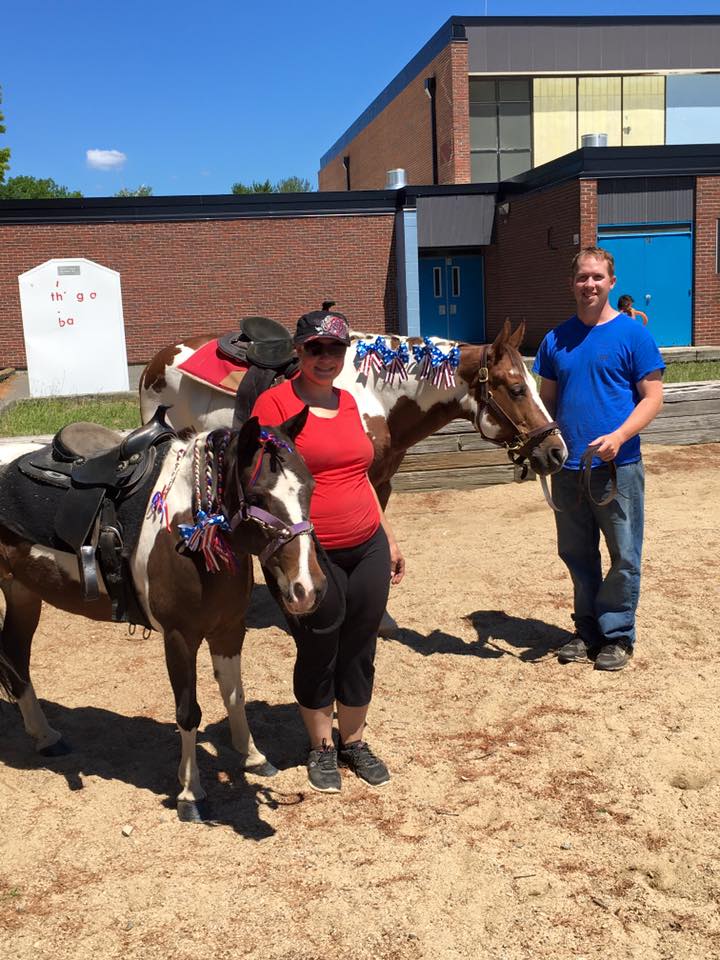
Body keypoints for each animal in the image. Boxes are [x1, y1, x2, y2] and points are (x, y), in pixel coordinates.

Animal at [0, 408, 324, 820]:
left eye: (310, 488)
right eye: (258, 497)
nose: (307, 589)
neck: (192, 531)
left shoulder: (229, 630)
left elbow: (234, 695)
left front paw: (252, 757)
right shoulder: (179, 637)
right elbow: (188, 712)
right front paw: (190, 793)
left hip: (23, 592)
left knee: (15, 657)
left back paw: (45, 737)